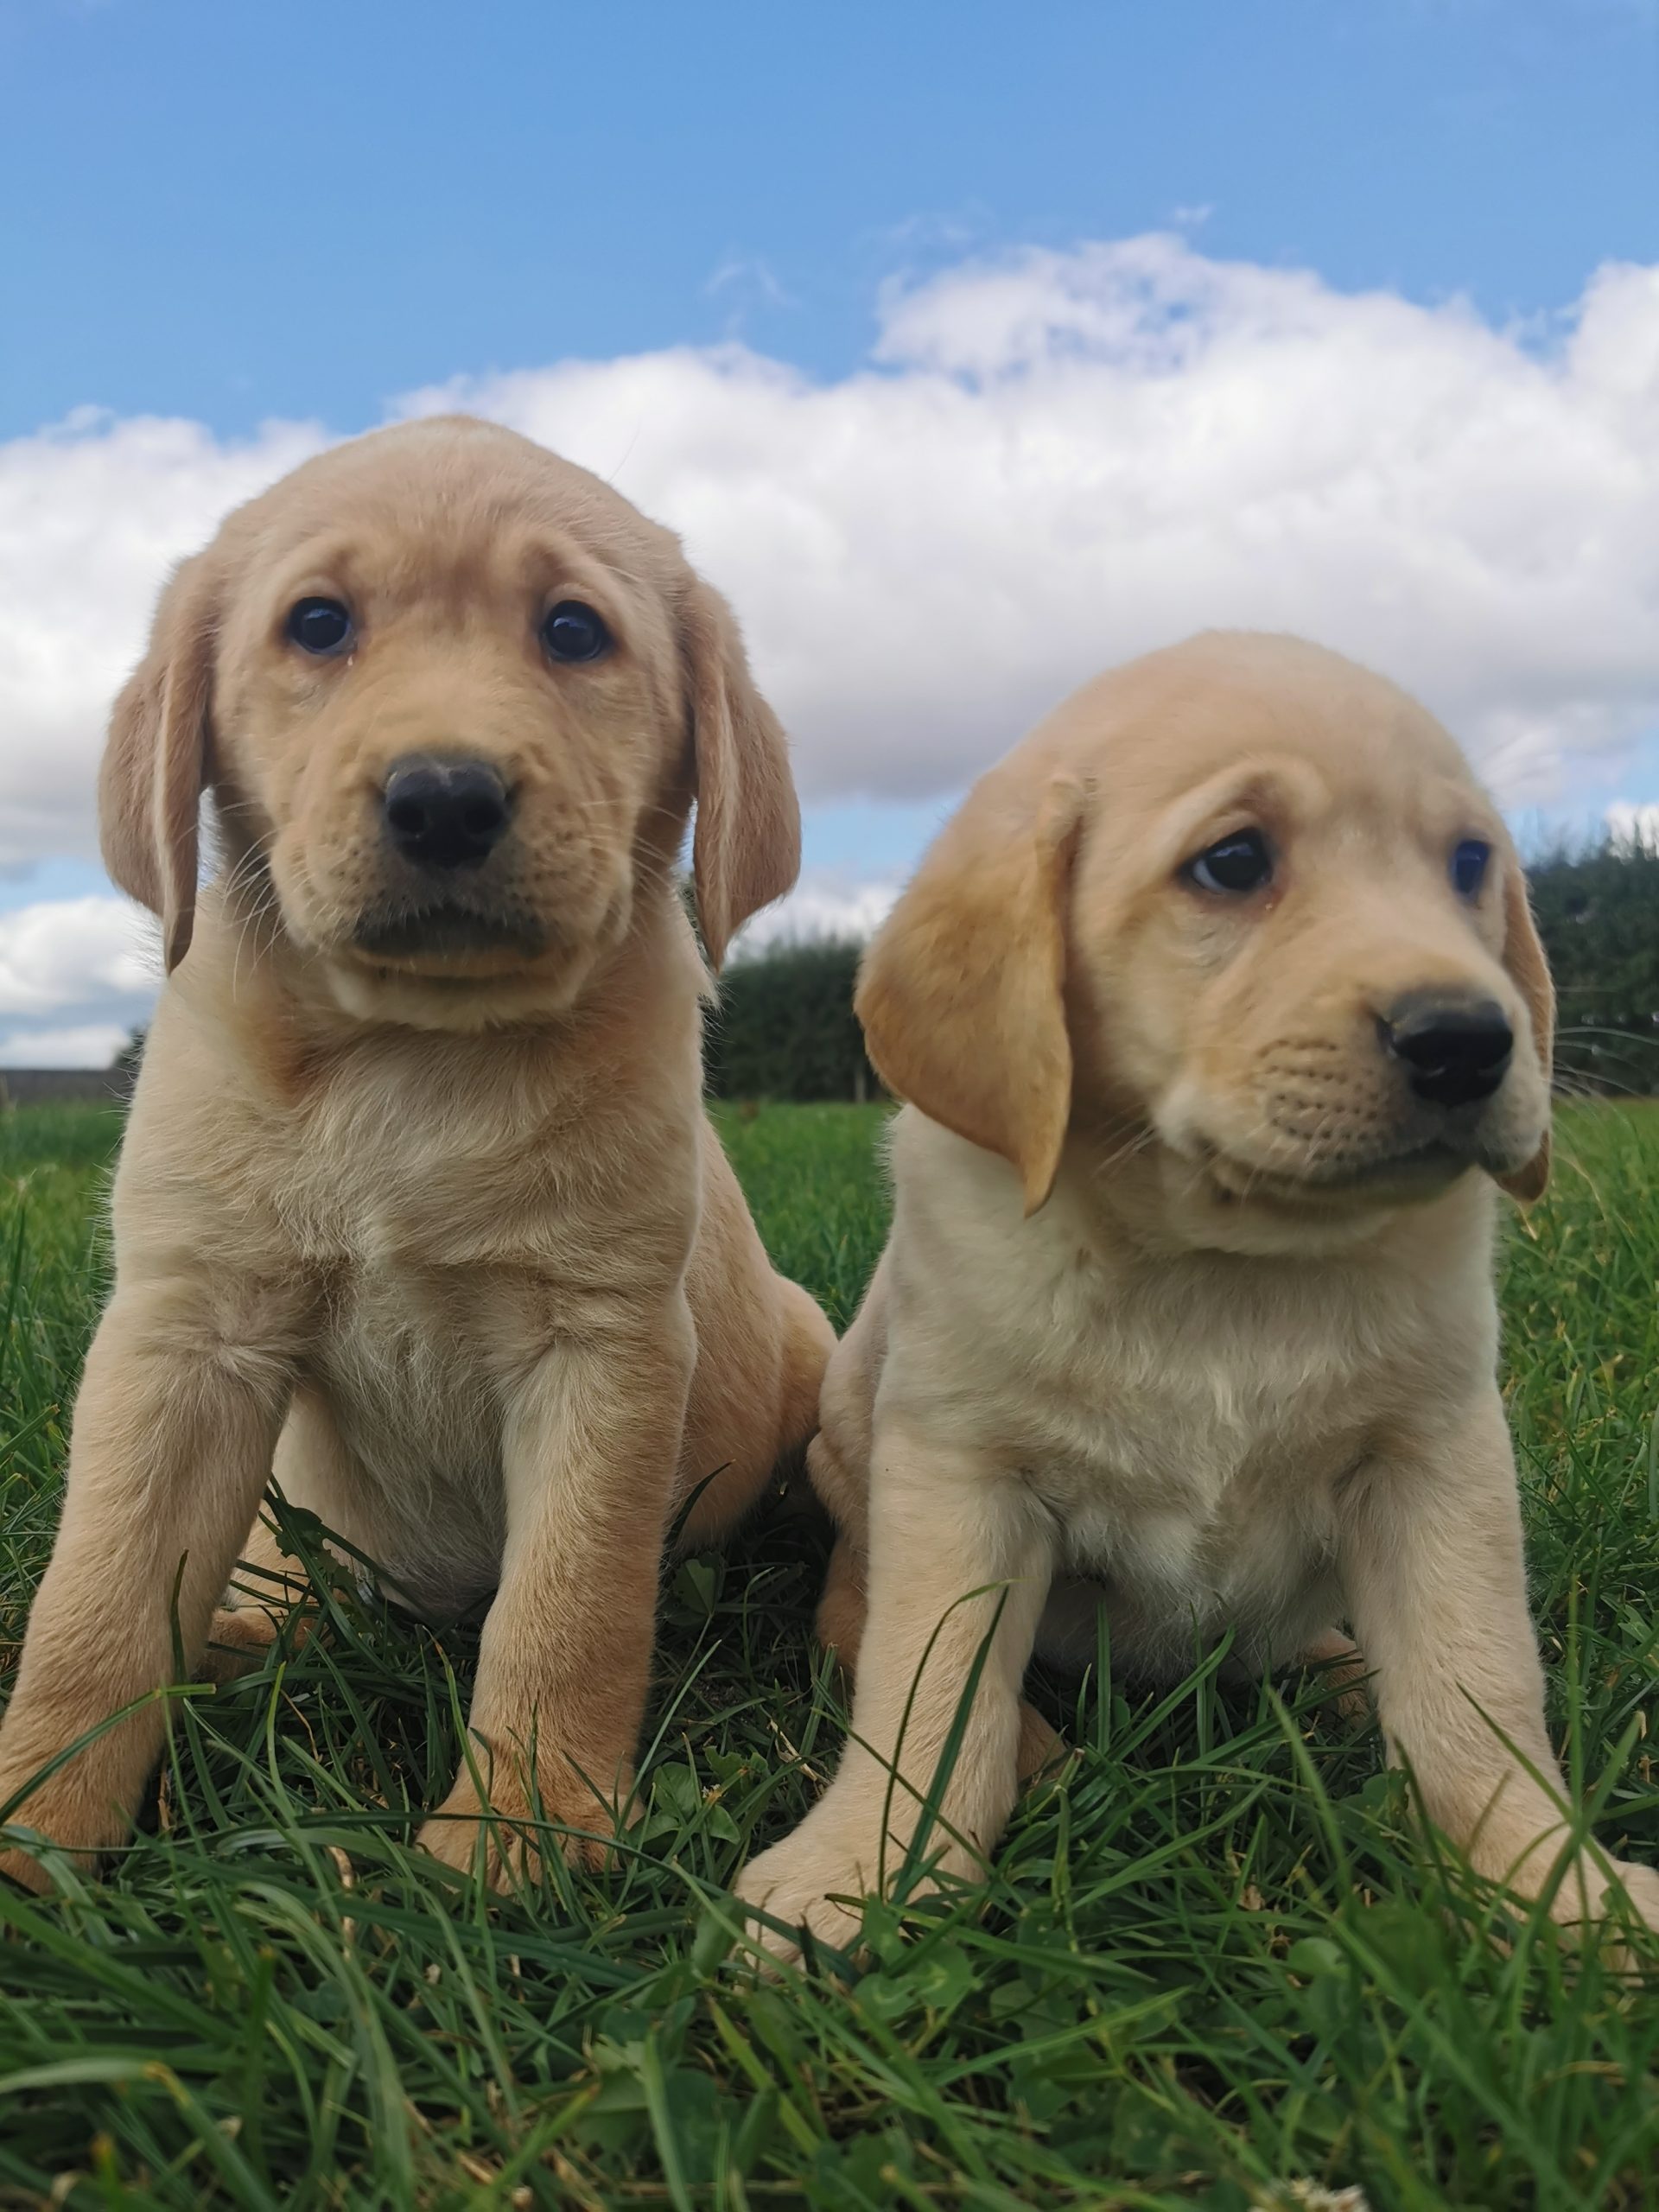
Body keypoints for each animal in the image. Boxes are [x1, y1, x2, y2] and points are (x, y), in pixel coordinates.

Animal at [0, 411, 831, 1885]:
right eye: (319, 624)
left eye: (573, 631)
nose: (445, 797)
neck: (414, 1058)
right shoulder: (185, 1336)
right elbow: (96, 1601)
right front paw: (35, 1824)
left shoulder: (602, 1346)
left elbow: (565, 1606)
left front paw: (521, 1833)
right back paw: (250, 1632)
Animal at [743, 632, 1659, 1964]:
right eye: (1234, 863)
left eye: (1470, 865)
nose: (1471, 1040)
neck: (1223, 1260)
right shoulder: (961, 1470)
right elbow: (926, 1683)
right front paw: (863, 1870)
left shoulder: (1436, 1457)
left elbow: (1475, 1683)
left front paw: (1555, 1887)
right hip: (844, 1438)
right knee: (858, 1620)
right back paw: (1035, 1749)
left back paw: (1338, 1676)